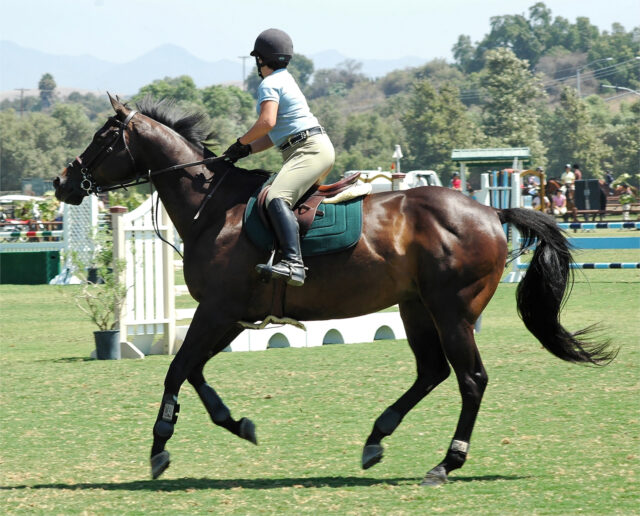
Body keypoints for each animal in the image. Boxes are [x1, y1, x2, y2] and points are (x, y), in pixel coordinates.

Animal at [53, 95, 615, 486]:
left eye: (102, 138)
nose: (62, 183)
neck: (211, 208)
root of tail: (490, 211)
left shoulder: (216, 310)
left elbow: (176, 370)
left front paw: (159, 448)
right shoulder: (231, 315)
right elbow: (193, 371)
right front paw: (237, 424)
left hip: (452, 311)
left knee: (470, 378)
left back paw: (446, 462)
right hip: (415, 307)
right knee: (432, 372)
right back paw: (376, 439)